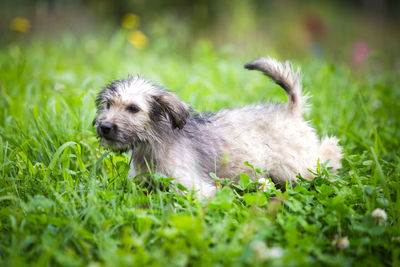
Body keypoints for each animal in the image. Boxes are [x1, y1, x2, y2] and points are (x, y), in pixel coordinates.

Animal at [93, 57, 340, 199]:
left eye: (133, 109)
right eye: (108, 105)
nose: (104, 126)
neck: (153, 144)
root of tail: (290, 109)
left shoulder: (194, 188)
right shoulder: (141, 183)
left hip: (296, 168)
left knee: (327, 155)